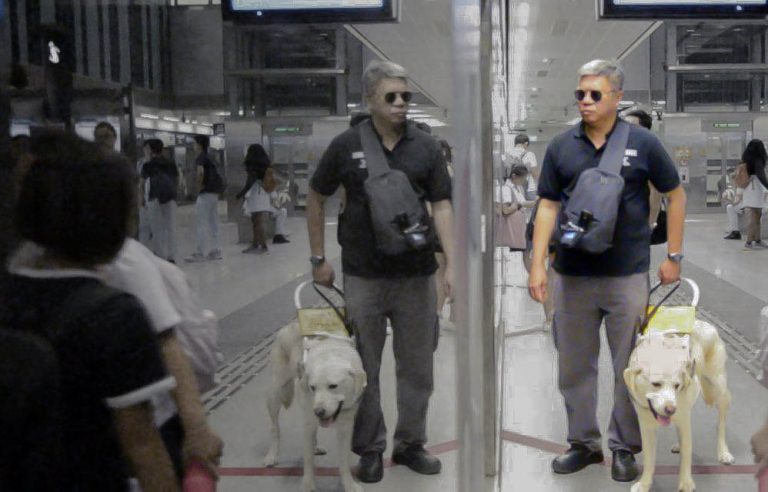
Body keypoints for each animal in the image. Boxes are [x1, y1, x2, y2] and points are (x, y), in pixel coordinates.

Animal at [264, 320, 366, 492]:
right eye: (313, 387)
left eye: (333, 386)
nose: (319, 411)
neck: (329, 352)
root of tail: (289, 325)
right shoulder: (308, 421)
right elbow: (308, 461)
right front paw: (308, 485)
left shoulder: (346, 427)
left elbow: (344, 462)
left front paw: (349, 484)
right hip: (276, 392)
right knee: (274, 428)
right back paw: (272, 456)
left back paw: (315, 446)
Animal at [620, 320, 736, 492]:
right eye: (656, 384)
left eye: (677, 385)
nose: (670, 409)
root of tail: (707, 324)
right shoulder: (647, 426)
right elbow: (649, 458)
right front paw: (644, 483)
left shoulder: (682, 417)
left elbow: (687, 455)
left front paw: (686, 483)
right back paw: (678, 445)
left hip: (718, 388)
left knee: (720, 424)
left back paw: (724, 453)